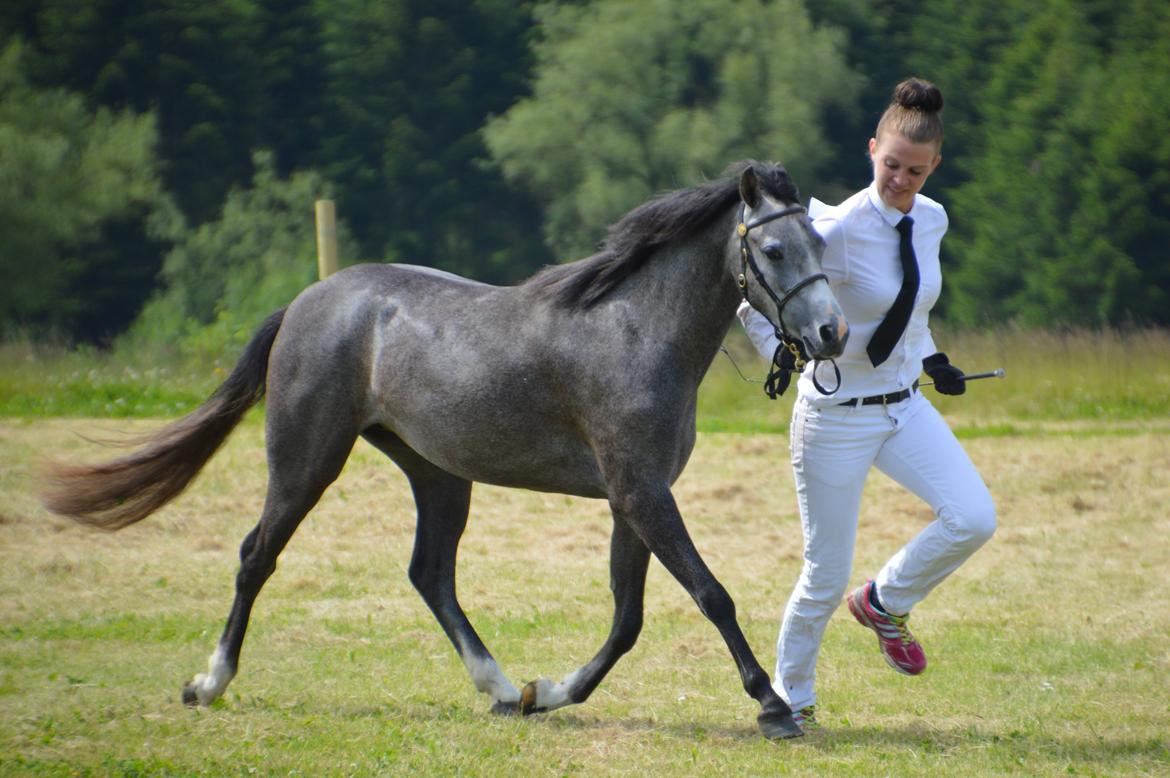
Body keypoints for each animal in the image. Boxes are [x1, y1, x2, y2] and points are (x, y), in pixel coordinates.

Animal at [43, 159, 851, 739]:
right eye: (773, 248)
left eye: (821, 244)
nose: (832, 334)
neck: (634, 329)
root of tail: (307, 302)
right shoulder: (640, 492)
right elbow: (710, 595)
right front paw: (773, 708)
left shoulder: (636, 497)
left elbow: (627, 620)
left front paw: (545, 695)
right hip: (307, 460)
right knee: (256, 555)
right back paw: (208, 683)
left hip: (435, 474)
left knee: (429, 573)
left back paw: (499, 687)